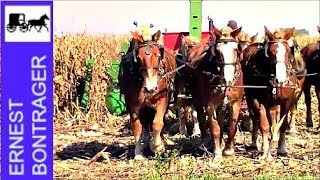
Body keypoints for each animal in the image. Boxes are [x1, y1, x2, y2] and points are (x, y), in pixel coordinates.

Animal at [119, 29, 178, 160]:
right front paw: (138, 153)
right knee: (145, 124)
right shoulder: (132, 104)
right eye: (139, 58)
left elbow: (157, 123)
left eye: (158, 56)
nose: (150, 88)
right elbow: (137, 127)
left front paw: (157, 146)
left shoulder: (162, 99)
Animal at [184, 25, 244, 158]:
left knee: (220, 120)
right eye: (218, 51)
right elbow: (214, 127)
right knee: (201, 119)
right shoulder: (210, 105)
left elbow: (232, 126)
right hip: (197, 100)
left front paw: (228, 150)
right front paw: (217, 152)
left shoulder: (235, 103)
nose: (228, 78)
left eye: (236, 49)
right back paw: (205, 143)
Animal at [241, 26, 306, 160]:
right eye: (270, 53)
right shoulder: (257, 100)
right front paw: (266, 153)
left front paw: (281, 149)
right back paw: (255, 144)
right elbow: (264, 125)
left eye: (288, 51)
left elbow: (282, 125)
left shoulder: (286, 101)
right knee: (255, 118)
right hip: (250, 97)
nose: (279, 80)